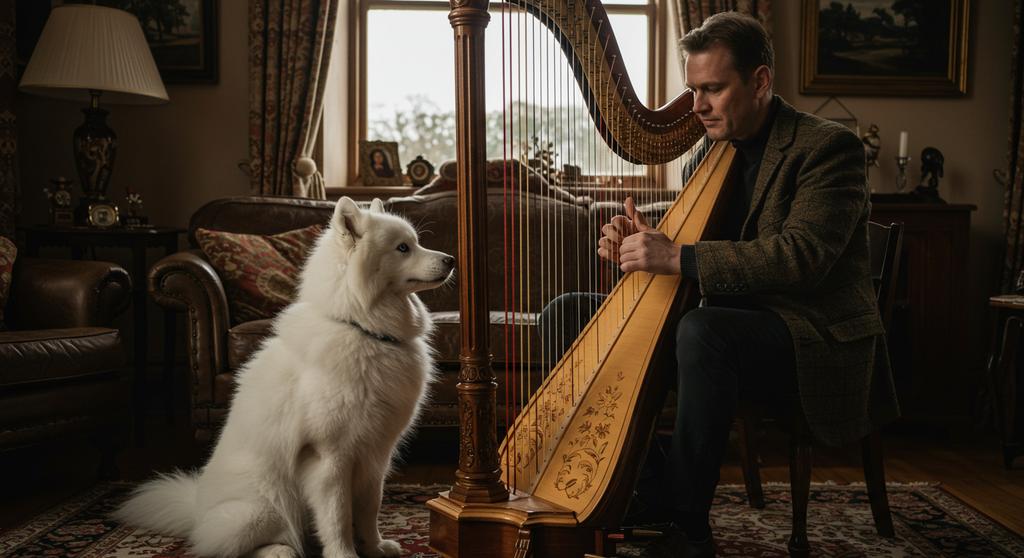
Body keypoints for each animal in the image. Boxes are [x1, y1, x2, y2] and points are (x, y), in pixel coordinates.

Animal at [114, 197, 454, 552]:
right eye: (403, 248)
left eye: (416, 242)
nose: (452, 260)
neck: (363, 329)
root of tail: (197, 509)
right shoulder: (330, 457)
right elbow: (337, 517)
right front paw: (344, 553)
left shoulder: (376, 455)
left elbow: (369, 508)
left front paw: (375, 548)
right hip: (265, 507)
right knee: (232, 543)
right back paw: (279, 551)